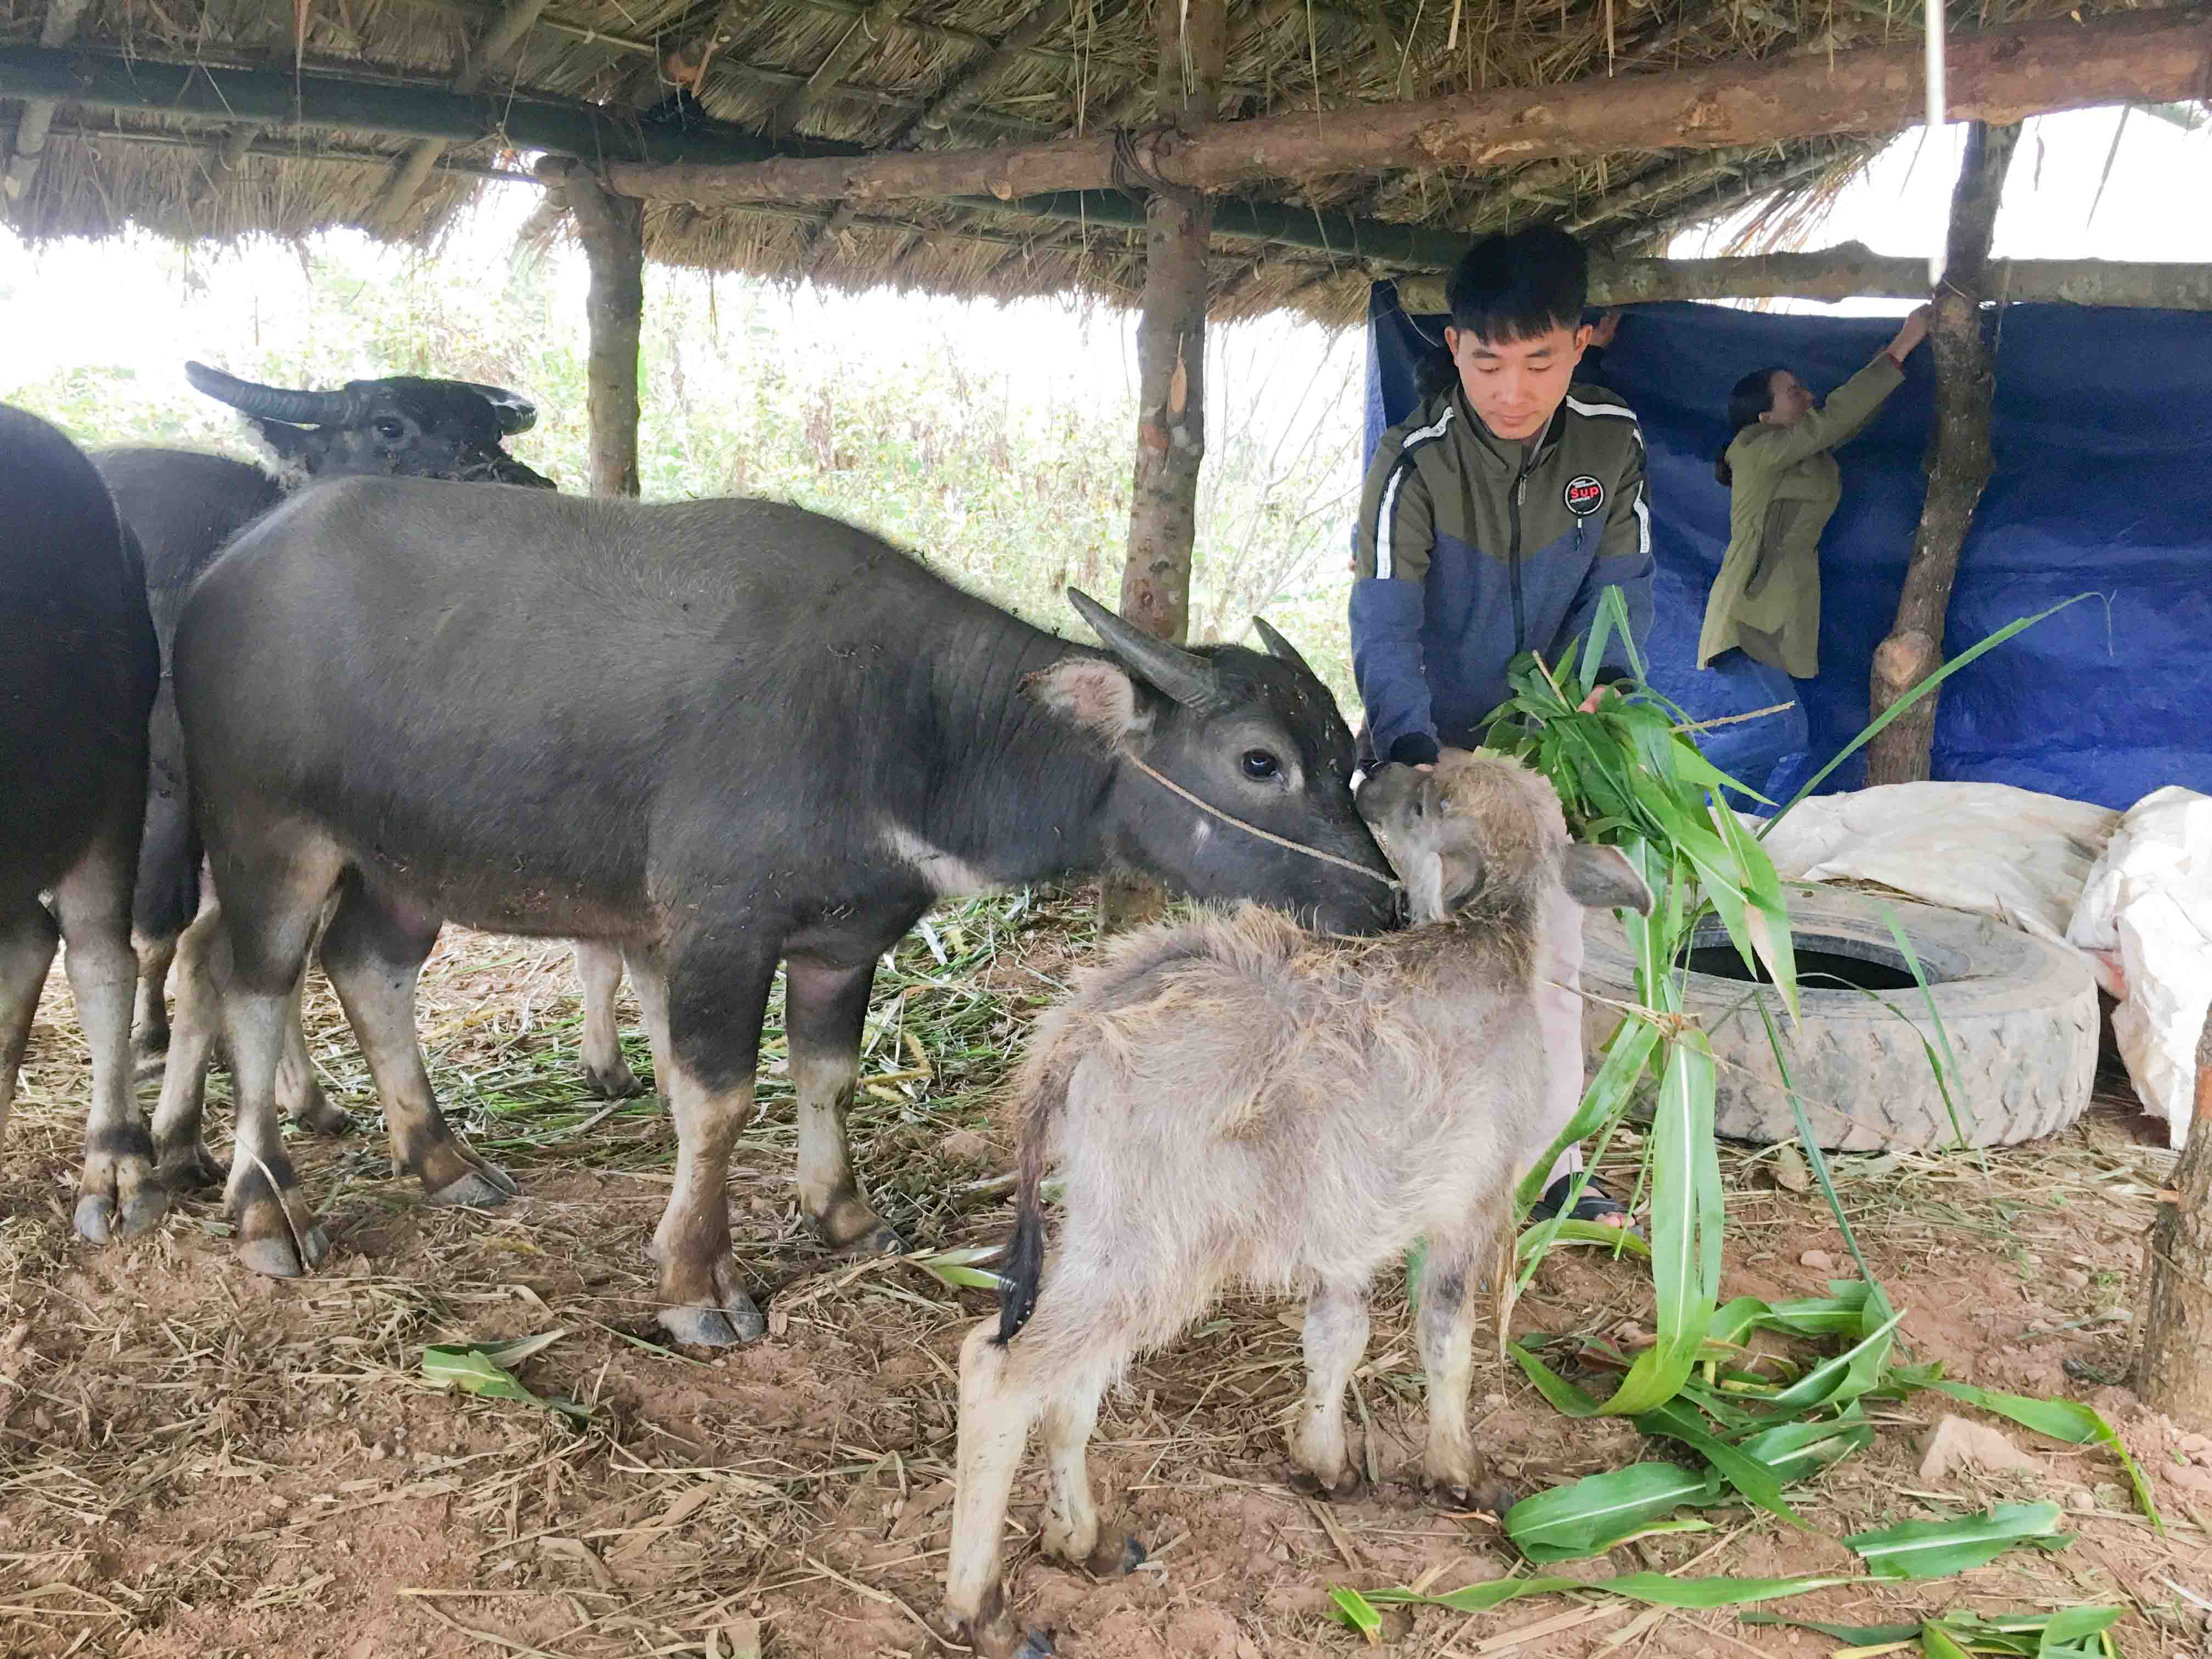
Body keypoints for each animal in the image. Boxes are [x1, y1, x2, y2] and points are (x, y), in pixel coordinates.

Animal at [172, 484, 1389, 1353]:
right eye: (1259, 760)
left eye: (1349, 751)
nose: (1381, 899)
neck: (908, 718)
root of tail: (226, 568)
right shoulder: (719, 927)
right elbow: (715, 1102)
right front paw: (696, 1283)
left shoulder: (844, 938)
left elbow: (827, 1074)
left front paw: (841, 1212)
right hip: (267, 834)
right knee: (249, 986)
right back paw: (265, 1211)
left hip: (400, 864)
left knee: (367, 969)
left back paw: (441, 1157)